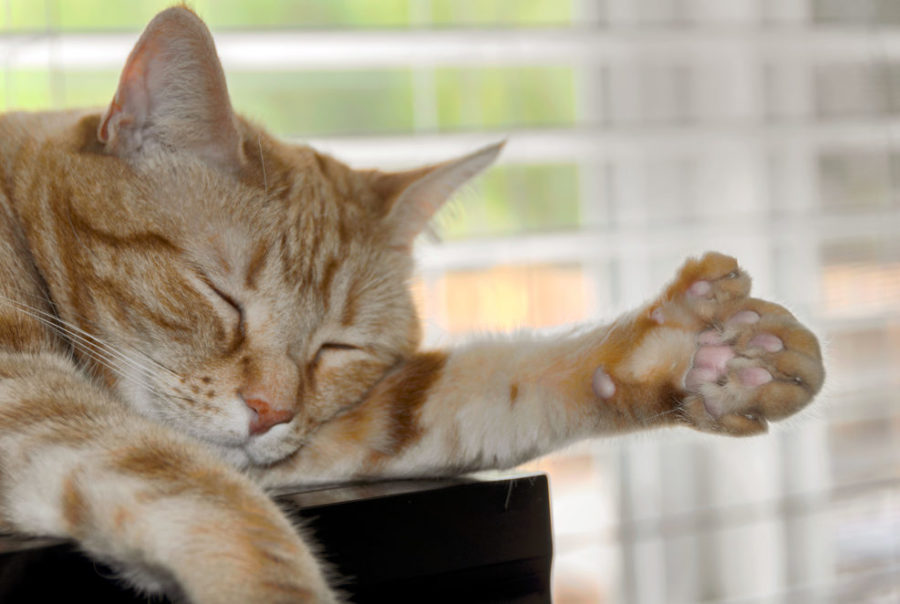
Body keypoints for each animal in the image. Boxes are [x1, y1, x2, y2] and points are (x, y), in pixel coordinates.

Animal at [0, 5, 828, 604]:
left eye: (336, 348)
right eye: (221, 295)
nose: (269, 412)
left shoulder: (313, 440)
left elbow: (481, 387)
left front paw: (692, 353)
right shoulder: (30, 395)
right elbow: (219, 508)